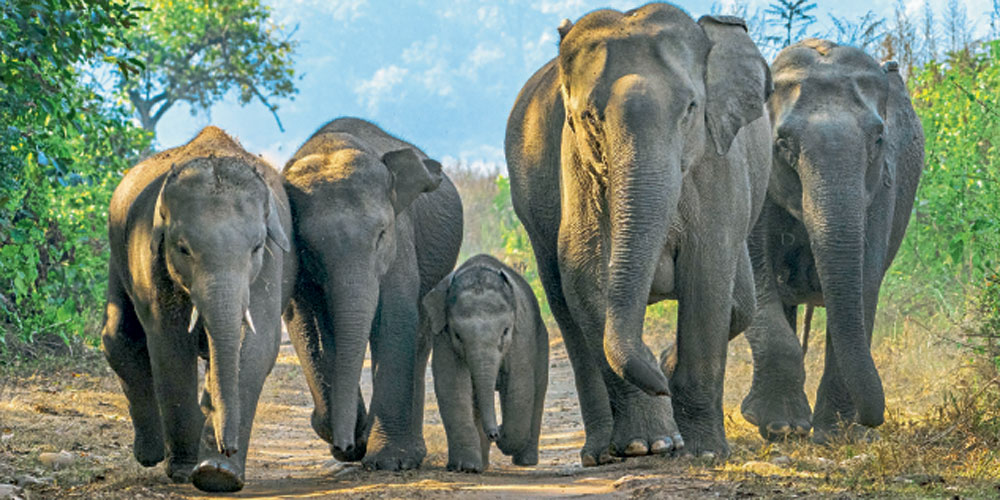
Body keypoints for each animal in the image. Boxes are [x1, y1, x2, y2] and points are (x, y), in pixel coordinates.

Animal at [100, 126, 296, 492]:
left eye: (256, 247)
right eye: (183, 249)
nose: (227, 446)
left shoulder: (272, 264)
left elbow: (258, 343)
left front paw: (219, 473)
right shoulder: (151, 254)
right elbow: (169, 341)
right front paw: (186, 470)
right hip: (117, 253)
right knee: (118, 336)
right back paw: (150, 454)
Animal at [281, 117, 463, 470]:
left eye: (381, 234)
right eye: (310, 246)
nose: (348, 445)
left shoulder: (400, 239)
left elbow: (395, 319)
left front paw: (389, 461)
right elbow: (306, 327)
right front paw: (347, 437)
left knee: (419, 337)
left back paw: (409, 454)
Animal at [422, 254, 549, 472]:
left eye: (505, 331)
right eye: (457, 335)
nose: (495, 432)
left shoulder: (521, 337)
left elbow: (519, 386)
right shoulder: (443, 338)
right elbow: (453, 386)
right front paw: (467, 467)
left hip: (541, 339)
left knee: (538, 389)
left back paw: (525, 461)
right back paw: (482, 465)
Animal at [504, 4, 772, 462]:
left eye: (691, 108)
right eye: (588, 117)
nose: (662, 381)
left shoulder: (716, 162)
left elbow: (707, 275)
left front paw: (703, 452)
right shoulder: (575, 162)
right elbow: (586, 271)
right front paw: (647, 444)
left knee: (741, 304)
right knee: (565, 309)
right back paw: (604, 451)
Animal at [740, 39, 924, 442]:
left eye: (878, 139)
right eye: (781, 143)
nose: (874, 421)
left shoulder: (882, 189)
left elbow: (865, 281)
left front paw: (835, 434)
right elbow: (756, 273)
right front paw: (781, 426)